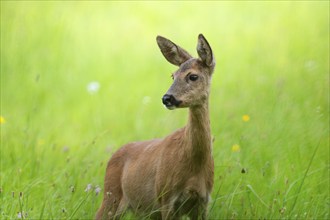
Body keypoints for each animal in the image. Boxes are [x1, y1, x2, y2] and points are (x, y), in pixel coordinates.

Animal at [95, 34, 215, 220]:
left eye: (193, 76)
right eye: (173, 76)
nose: (167, 98)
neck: (194, 165)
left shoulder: (203, 201)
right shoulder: (165, 197)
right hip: (111, 196)